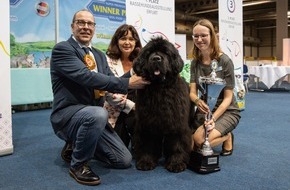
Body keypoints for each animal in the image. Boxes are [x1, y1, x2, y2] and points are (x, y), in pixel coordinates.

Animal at [133, 36, 191, 172]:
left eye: (165, 52)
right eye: (149, 53)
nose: (156, 58)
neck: (159, 88)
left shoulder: (177, 122)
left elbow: (177, 144)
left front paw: (176, 163)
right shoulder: (147, 123)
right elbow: (147, 144)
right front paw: (146, 161)